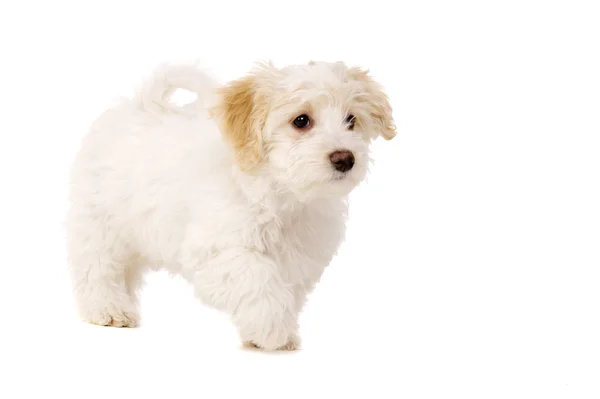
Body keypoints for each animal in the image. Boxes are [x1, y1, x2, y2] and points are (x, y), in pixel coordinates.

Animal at [67, 61, 394, 352]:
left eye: (351, 120)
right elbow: (259, 283)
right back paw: (108, 309)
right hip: (102, 223)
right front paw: (272, 331)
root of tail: (141, 104)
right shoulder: (220, 251)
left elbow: (284, 293)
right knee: (97, 267)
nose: (345, 158)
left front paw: (266, 334)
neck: (283, 195)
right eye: (301, 120)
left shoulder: (298, 258)